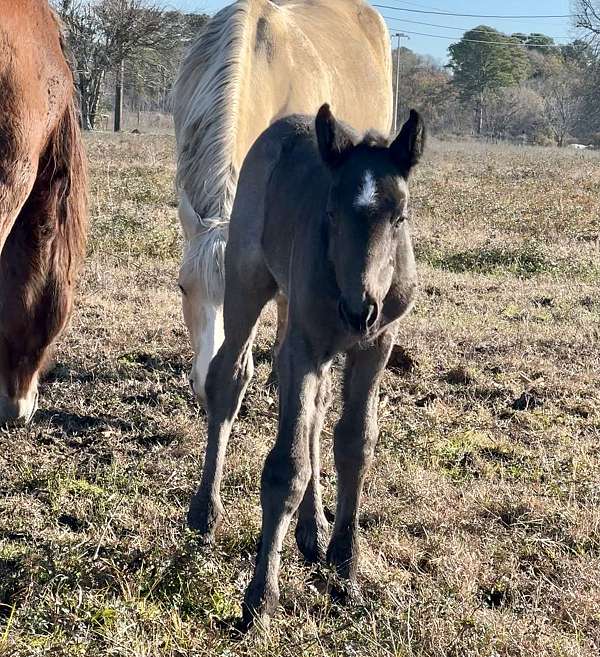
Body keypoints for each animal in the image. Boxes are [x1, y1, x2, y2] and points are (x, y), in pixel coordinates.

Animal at [190, 105, 424, 628]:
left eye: (400, 217)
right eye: (331, 213)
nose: (360, 310)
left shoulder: (377, 344)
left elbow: (355, 442)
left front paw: (345, 563)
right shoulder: (306, 341)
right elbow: (285, 468)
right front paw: (261, 598)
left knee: (314, 413)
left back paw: (313, 530)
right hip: (247, 283)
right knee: (228, 379)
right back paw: (205, 511)